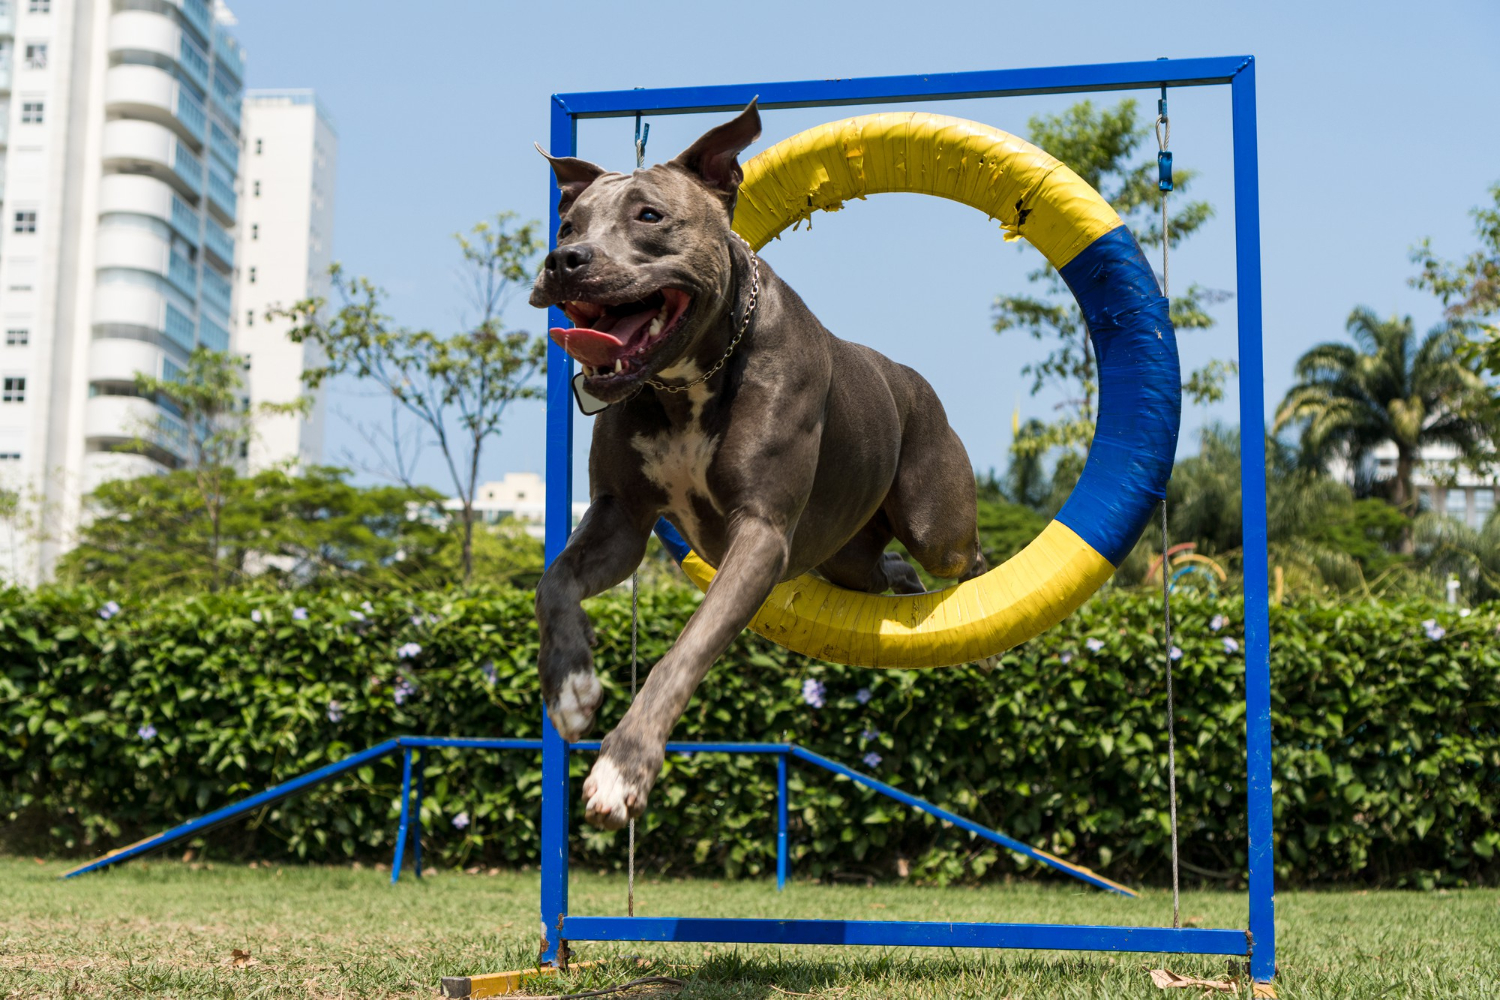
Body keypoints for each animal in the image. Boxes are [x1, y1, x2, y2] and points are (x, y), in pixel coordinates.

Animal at [528, 105, 984, 833]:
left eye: (649, 216)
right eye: (568, 224)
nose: (564, 260)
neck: (688, 380)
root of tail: (910, 379)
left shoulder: (760, 534)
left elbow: (682, 653)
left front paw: (621, 771)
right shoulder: (620, 520)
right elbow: (554, 583)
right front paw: (571, 687)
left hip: (933, 518)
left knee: (962, 560)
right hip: (844, 556)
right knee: (886, 570)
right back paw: (905, 588)